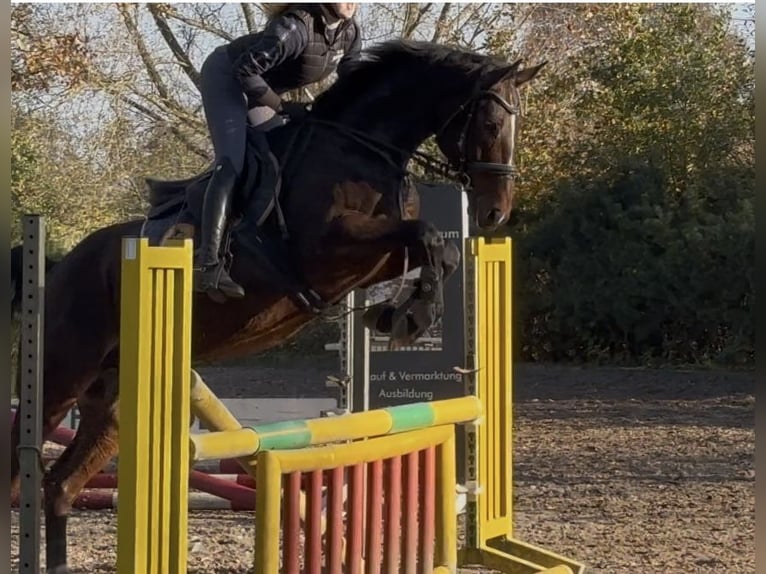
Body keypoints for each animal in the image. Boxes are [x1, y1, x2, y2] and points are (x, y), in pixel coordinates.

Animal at [9, 38, 544, 572]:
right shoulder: (327, 249)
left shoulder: (376, 256)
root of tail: (58, 268)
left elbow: (440, 250)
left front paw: (399, 315)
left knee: (60, 486)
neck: (360, 148)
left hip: (113, 405)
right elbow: (428, 234)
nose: (496, 213)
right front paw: (409, 317)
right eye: (490, 125)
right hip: (60, 378)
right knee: (17, 470)